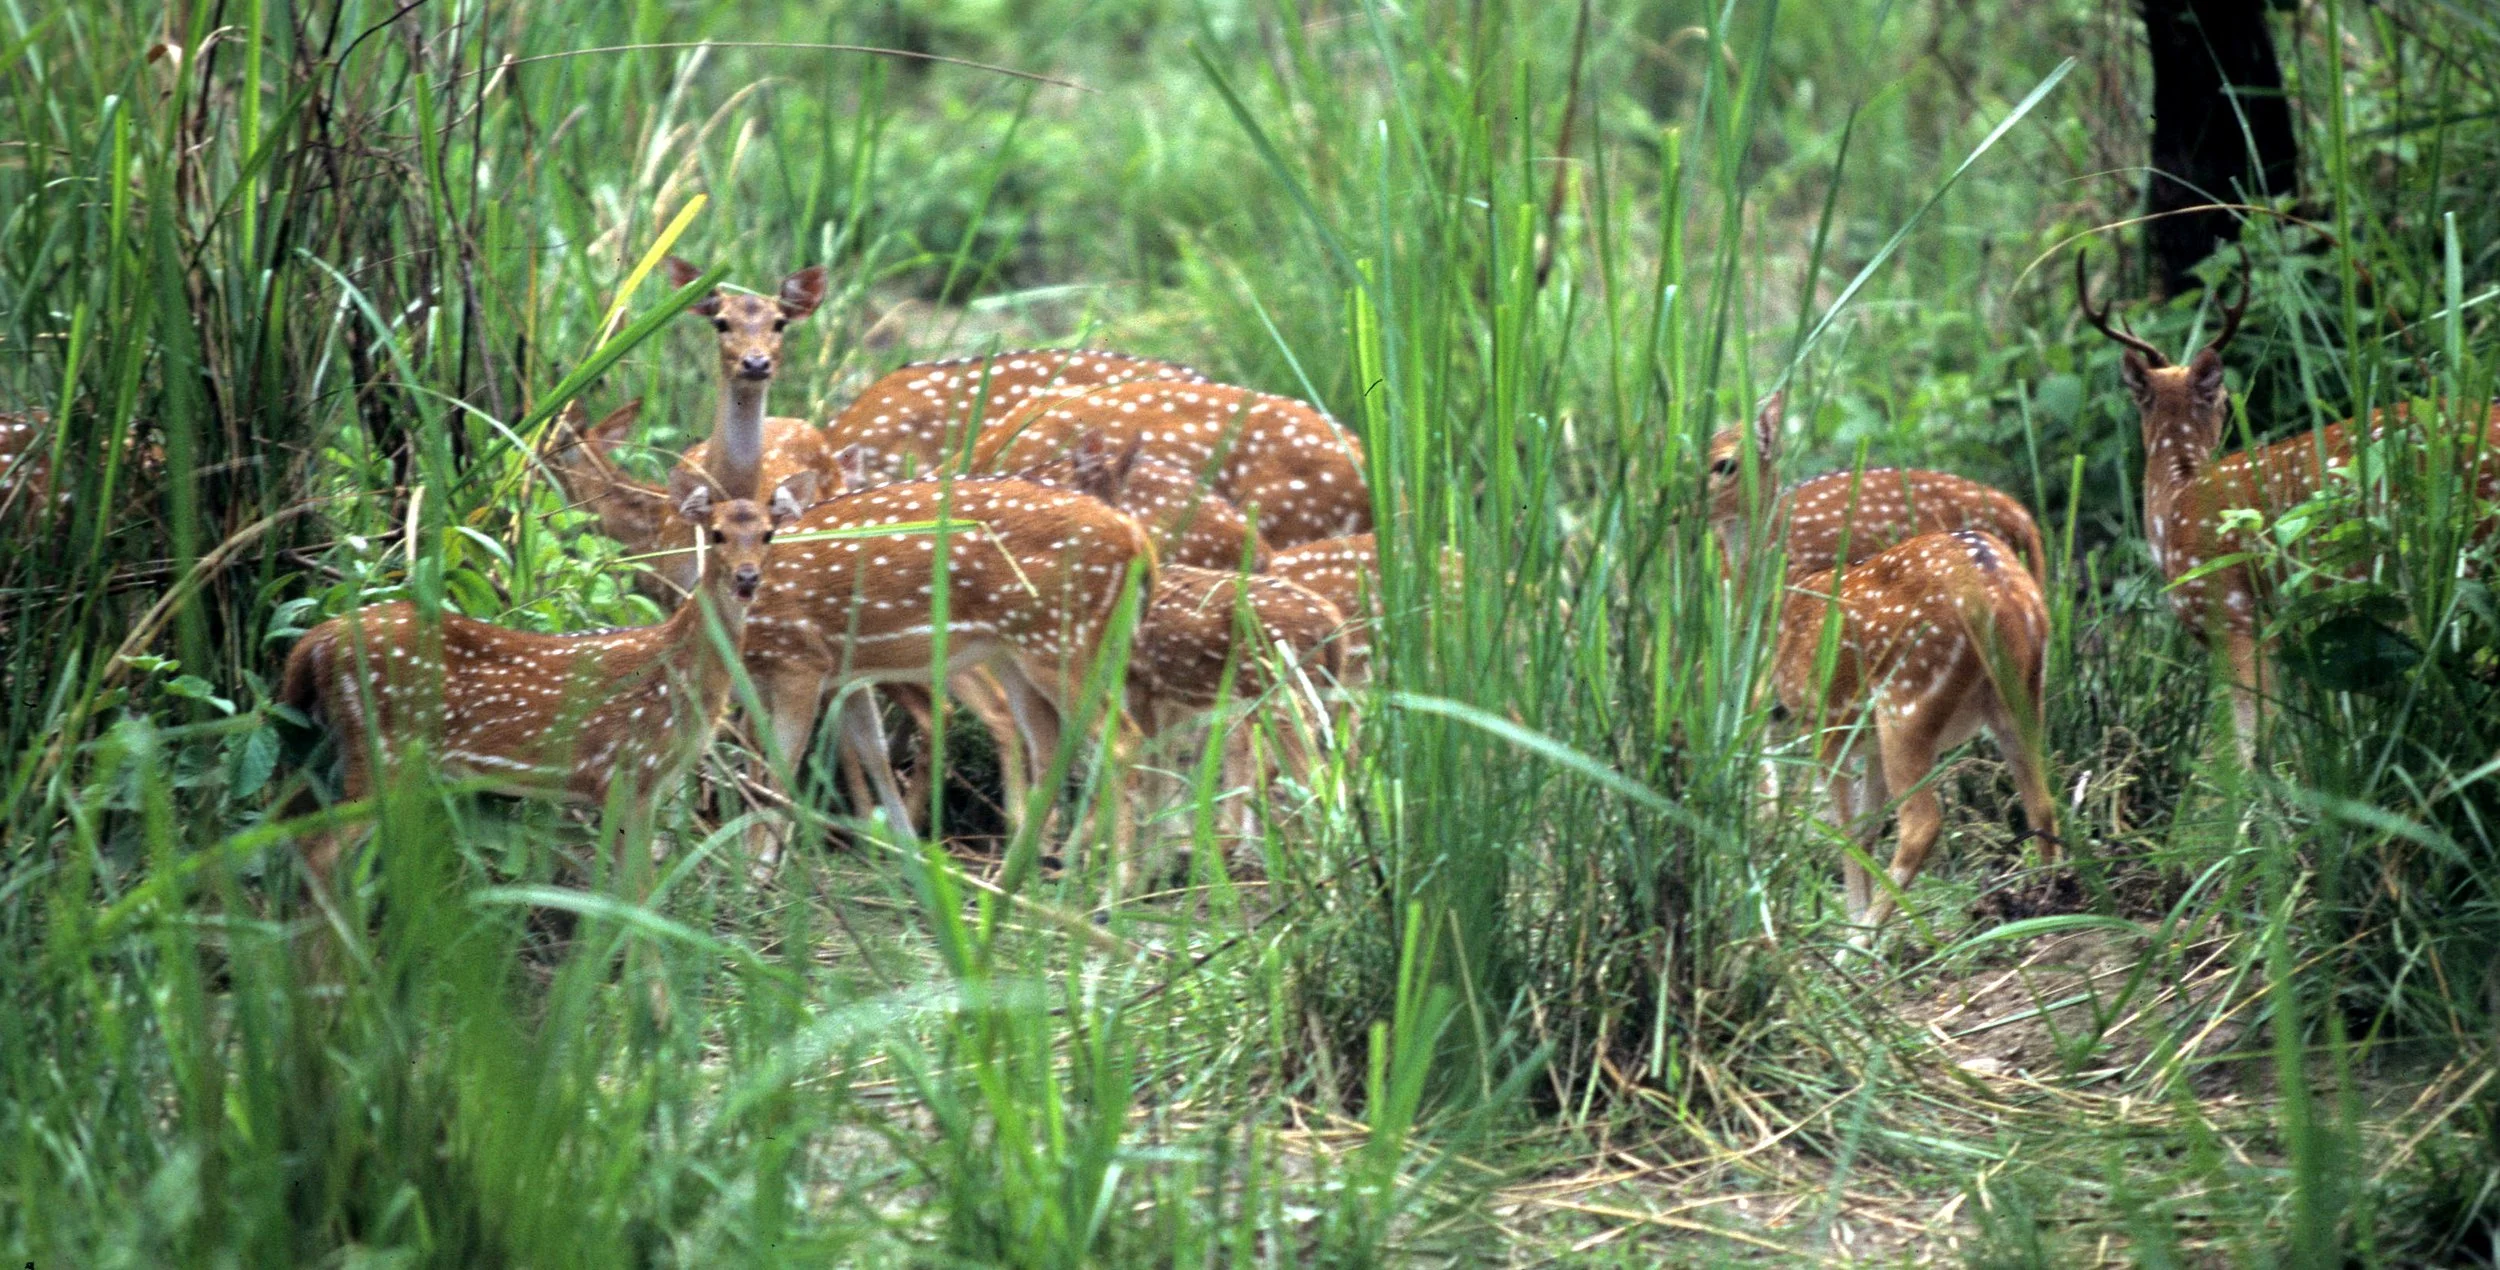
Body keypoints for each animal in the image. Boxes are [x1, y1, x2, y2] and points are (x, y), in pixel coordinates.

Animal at [279, 480, 800, 895]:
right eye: (717, 534)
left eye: (768, 534)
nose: (747, 577)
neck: (680, 678)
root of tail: (316, 640)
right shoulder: (626, 773)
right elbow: (637, 903)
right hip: (383, 749)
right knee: (314, 849)